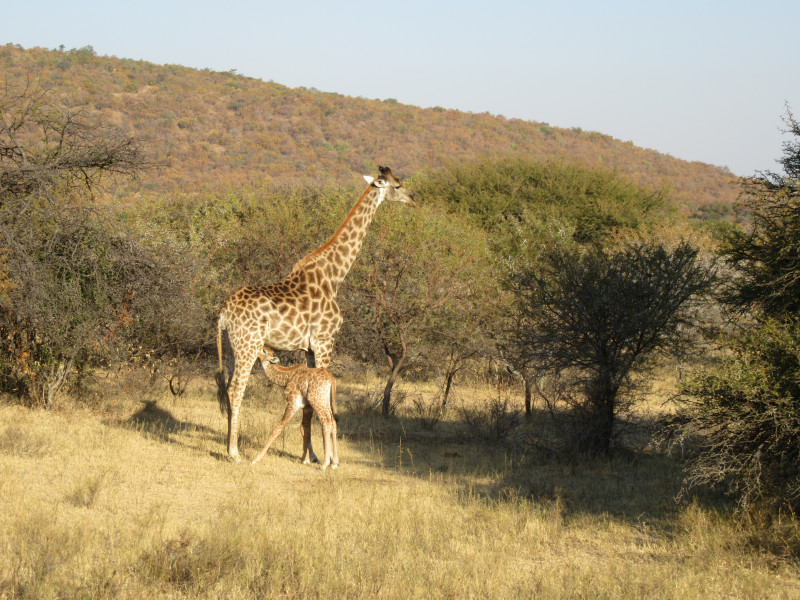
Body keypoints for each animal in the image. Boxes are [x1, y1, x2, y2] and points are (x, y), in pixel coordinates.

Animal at [219, 166, 418, 462]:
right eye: (397, 185)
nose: (413, 200)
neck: (334, 276)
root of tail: (223, 312)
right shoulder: (325, 341)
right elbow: (321, 399)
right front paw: (328, 459)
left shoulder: (310, 348)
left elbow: (309, 405)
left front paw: (308, 455)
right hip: (248, 345)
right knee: (236, 389)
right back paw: (234, 453)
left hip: (233, 348)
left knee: (228, 388)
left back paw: (229, 447)